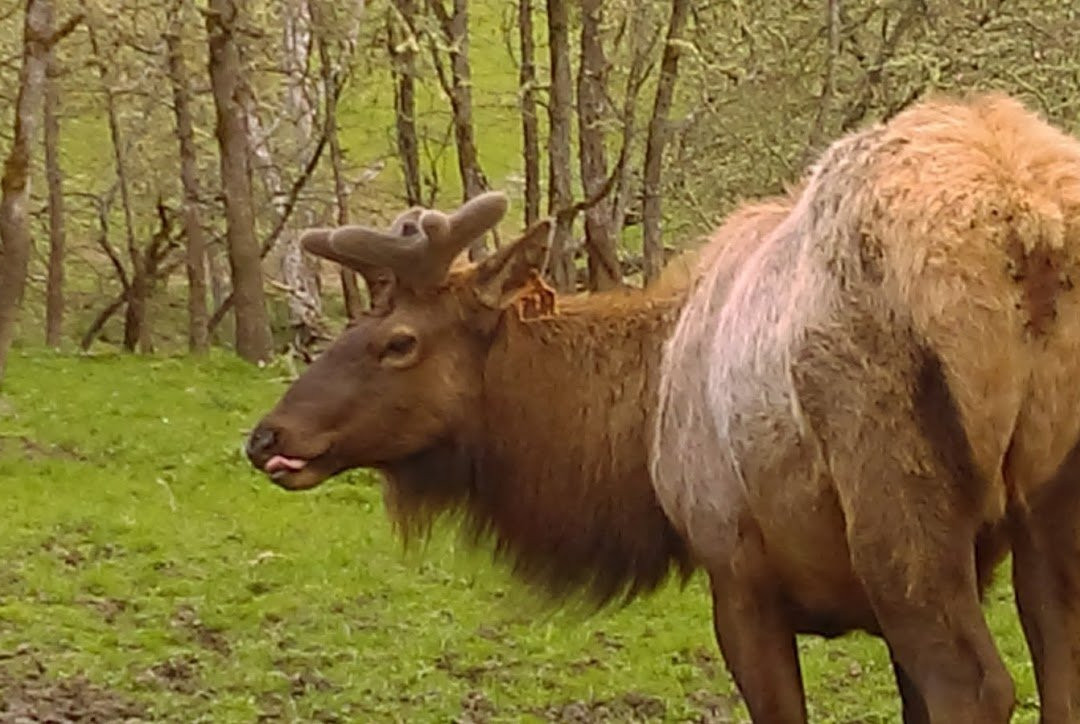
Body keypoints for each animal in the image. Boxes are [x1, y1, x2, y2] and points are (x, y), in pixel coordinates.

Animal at [248, 92, 1080, 724]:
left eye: (398, 342)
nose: (267, 436)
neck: (641, 415)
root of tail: (1027, 231)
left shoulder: (735, 567)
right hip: (1048, 499)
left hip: (892, 491)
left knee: (976, 687)